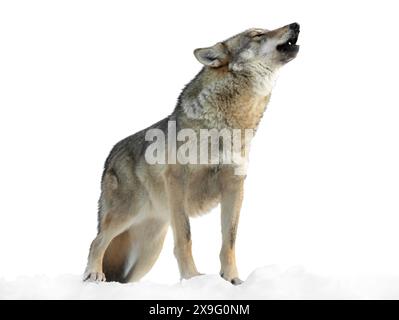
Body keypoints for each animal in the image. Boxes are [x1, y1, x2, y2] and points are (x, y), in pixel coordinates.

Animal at [85, 23, 304, 284]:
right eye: (257, 34)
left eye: (264, 31)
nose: (295, 25)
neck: (230, 125)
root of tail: (109, 157)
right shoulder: (177, 180)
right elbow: (185, 237)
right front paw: (192, 277)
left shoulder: (235, 186)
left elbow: (229, 241)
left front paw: (232, 280)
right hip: (125, 216)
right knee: (96, 242)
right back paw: (93, 274)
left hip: (149, 252)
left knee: (122, 276)